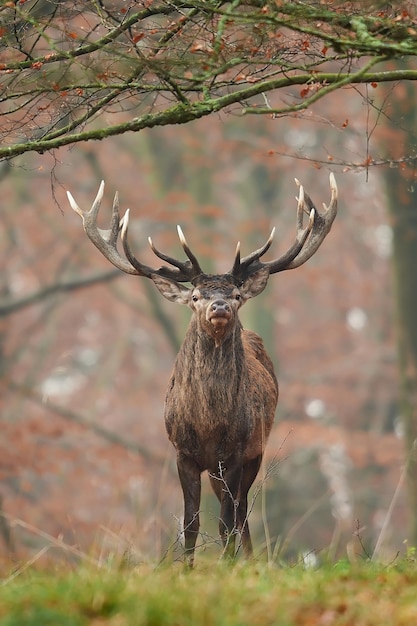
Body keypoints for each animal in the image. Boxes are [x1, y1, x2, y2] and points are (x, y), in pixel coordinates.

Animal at [67, 172, 334, 564]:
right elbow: (190, 523)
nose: (219, 306)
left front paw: (228, 565)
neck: (208, 423)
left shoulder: (236, 452)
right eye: (195, 297)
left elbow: (225, 521)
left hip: (256, 450)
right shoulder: (183, 452)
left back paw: (249, 560)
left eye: (236, 295)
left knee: (240, 511)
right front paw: (186, 568)